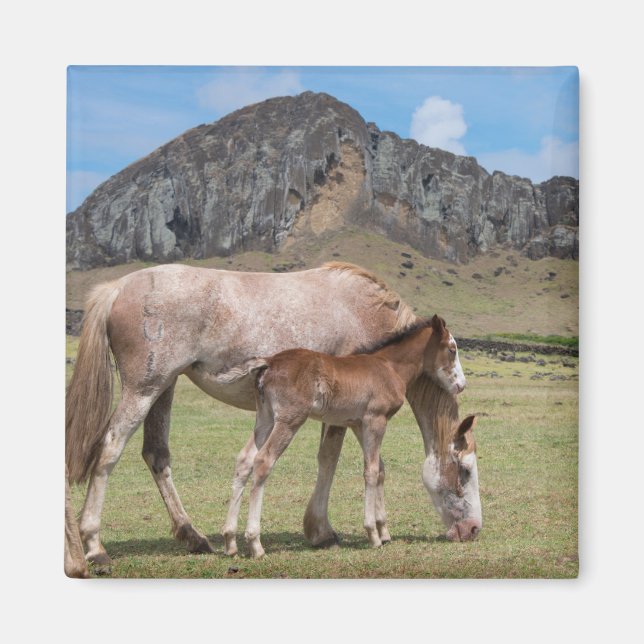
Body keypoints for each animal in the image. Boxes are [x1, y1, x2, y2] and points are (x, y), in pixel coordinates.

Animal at [213, 314, 479, 558]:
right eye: (452, 349)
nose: (461, 385)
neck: (389, 367)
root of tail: (269, 361)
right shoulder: (375, 419)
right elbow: (371, 471)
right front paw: (372, 534)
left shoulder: (358, 424)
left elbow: (380, 469)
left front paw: (383, 531)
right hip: (289, 420)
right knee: (263, 461)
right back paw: (255, 543)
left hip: (265, 418)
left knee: (245, 460)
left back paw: (230, 541)